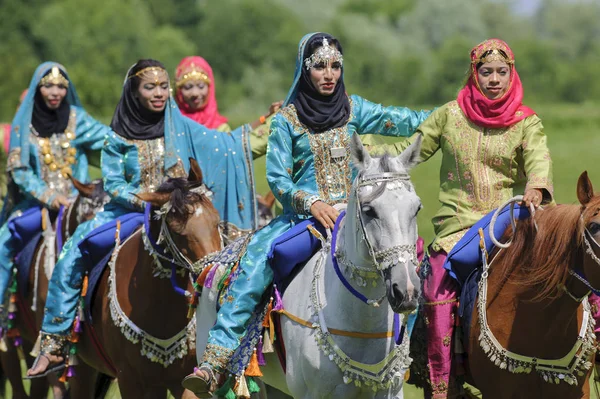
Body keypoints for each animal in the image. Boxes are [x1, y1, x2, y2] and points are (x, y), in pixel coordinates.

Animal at [72, 160, 221, 399]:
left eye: (216, 221)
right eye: (178, 231)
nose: (214, 273)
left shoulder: (183, 379)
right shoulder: (130, 379)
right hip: (82, 368)